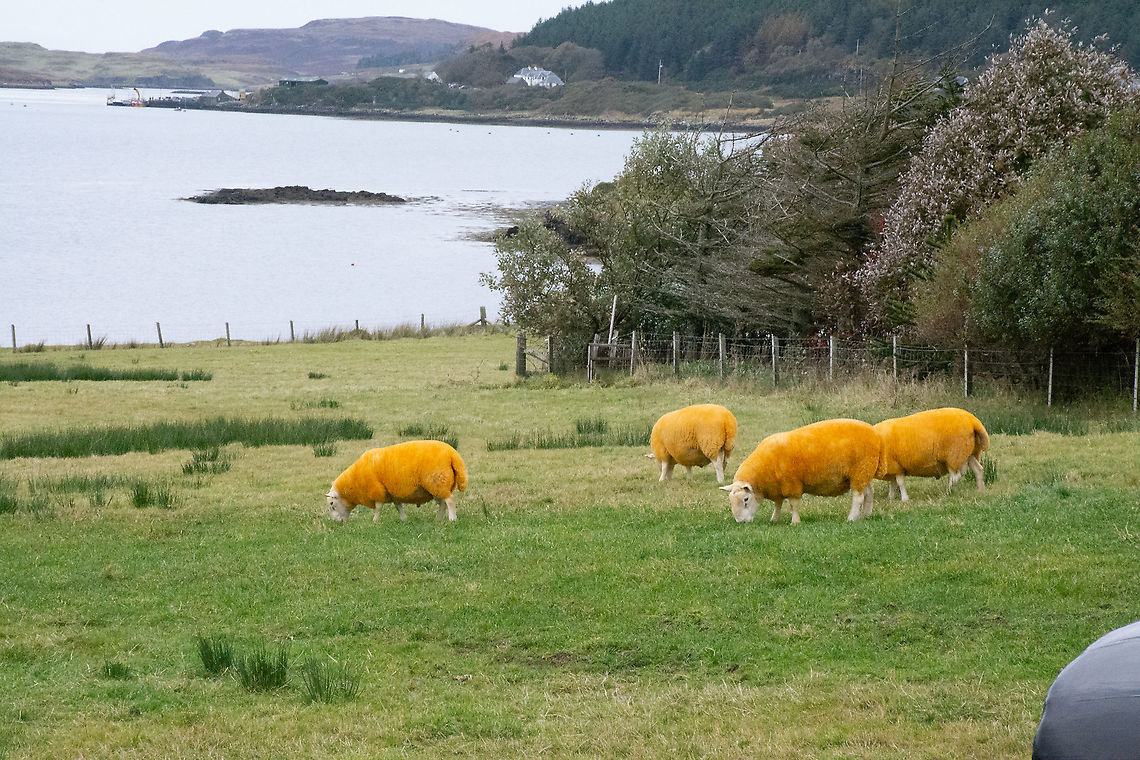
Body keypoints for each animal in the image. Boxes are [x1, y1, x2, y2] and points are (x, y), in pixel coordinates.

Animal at [326, 440, 468, 522]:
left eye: (332, 504)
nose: (336, 522)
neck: (355, 481)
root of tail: (452, 453)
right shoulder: (392, 492)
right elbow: (398, 506)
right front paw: (404, 519)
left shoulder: (377, 490)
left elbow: (378, 508)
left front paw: (375, 521)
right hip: (437, 486)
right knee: (443, 503)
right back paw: (438, 519)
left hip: (438, 481)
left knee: (450, 501)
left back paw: (452, 519)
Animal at [720, 418, 884, 524]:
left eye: (745, 499)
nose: (741, 522)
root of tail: (875, 433)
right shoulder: (778, 487)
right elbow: (778, 504)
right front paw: (774, 520)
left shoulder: (792, 484)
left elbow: (793, 505)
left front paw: (795, 522)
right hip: (863, 473)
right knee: (868, 493)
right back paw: (865, 515)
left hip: (860, 471)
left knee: (858, 497)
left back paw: (851, 518)